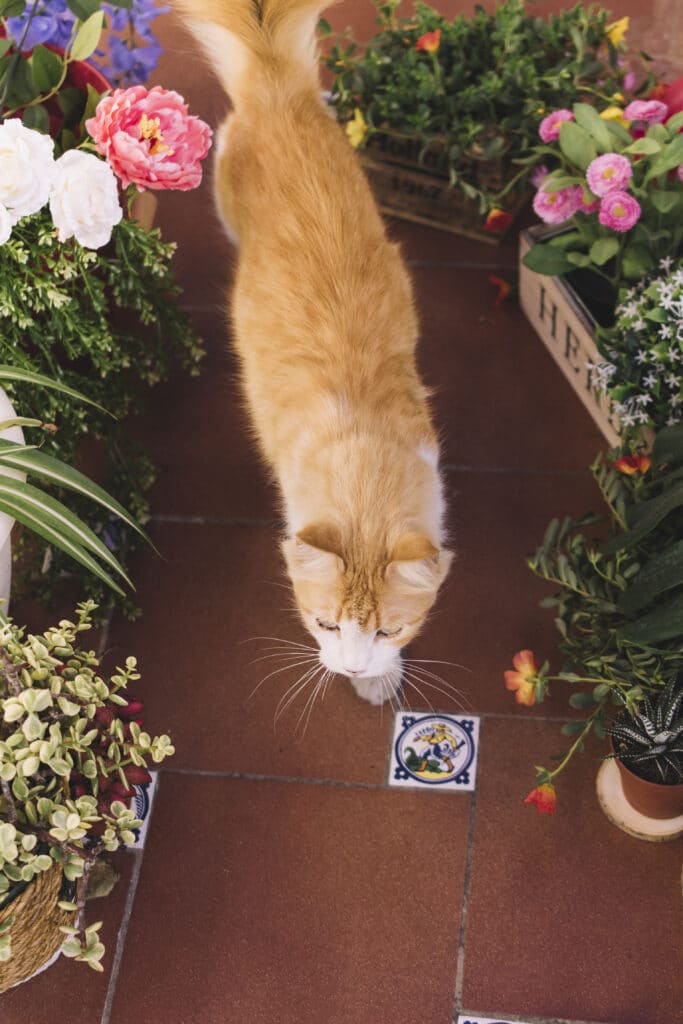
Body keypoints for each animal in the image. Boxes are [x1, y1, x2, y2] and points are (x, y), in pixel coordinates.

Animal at [174, 0, 450, 704]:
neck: (364, 477)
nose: (351, 667)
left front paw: (378, 678)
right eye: (324, 623)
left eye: (389, 631)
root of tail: (277, 83)